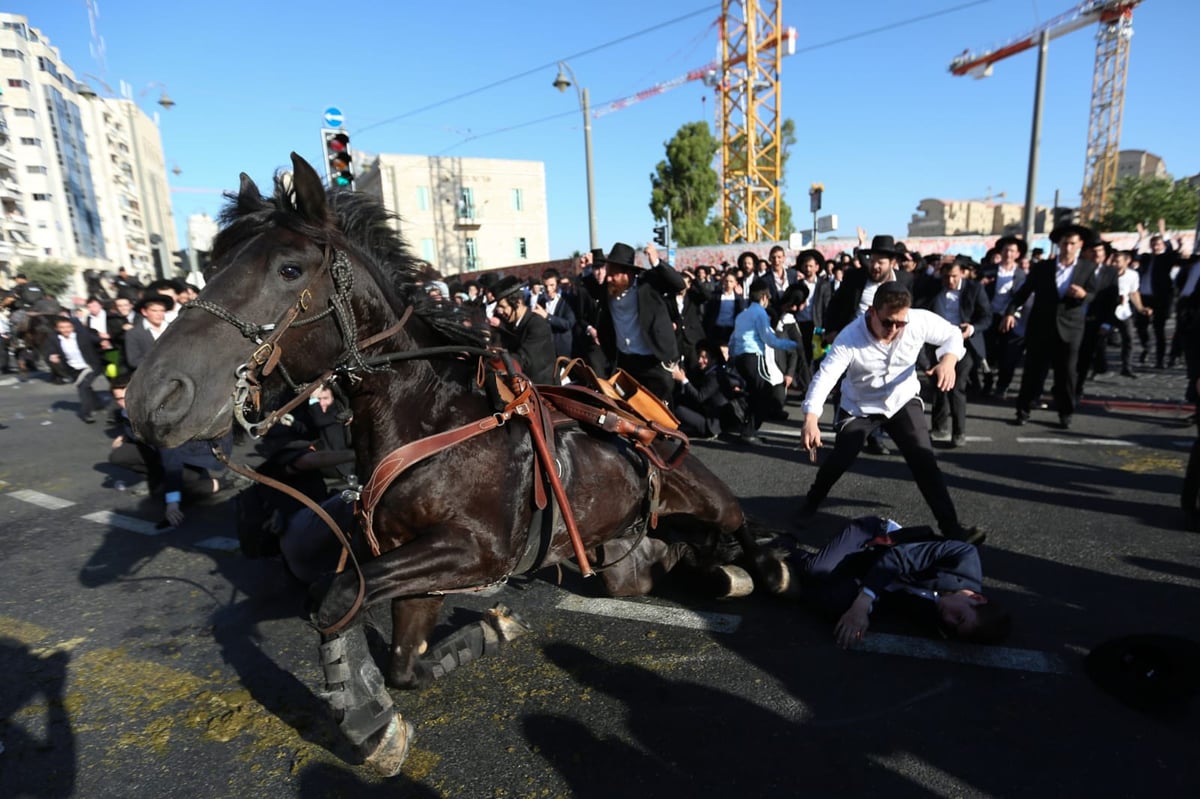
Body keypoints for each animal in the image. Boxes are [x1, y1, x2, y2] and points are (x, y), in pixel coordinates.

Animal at [124, 152, 787, 772]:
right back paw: (714, 570)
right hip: (625, 562)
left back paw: (766, 567)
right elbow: (400, 662)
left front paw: (369, 722)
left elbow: (335, 598)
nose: (153, 397)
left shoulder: (478, 549)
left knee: (743, 525)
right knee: (668, 558)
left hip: (704, 496)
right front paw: (481, 637)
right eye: (210, 267)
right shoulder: (412, 556)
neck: (429, 421)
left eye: (289, 269)